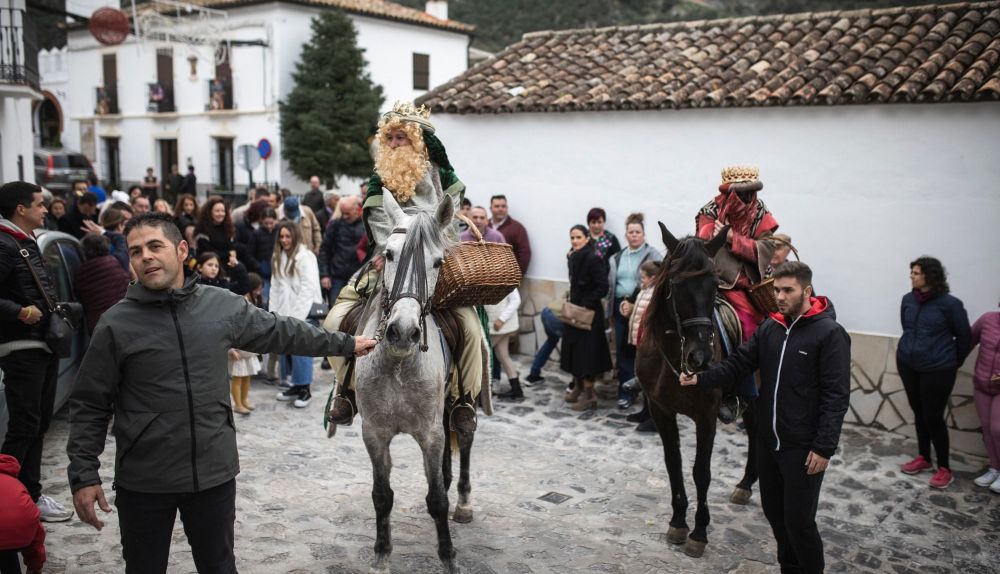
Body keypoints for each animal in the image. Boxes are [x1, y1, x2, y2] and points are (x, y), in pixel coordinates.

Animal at [636, 225, 760, 564]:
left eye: (715, 284)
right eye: (677, 284)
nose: (700, 357)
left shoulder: (707, 416)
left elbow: (701, 472)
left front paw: (699, 532)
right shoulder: (660, 410)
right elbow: (674, 464)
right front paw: (678, 522)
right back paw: (747, 483)